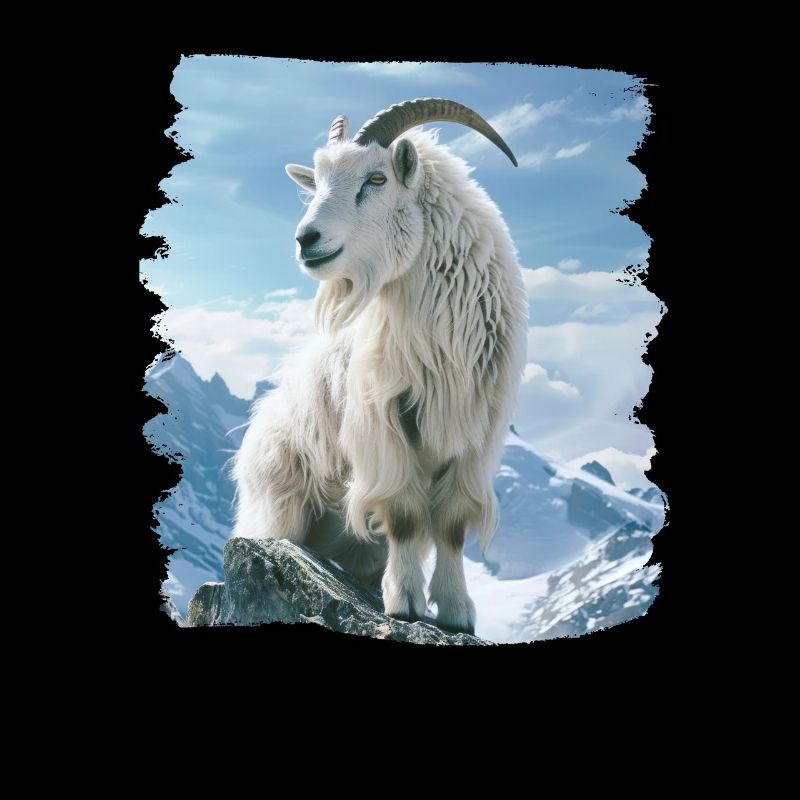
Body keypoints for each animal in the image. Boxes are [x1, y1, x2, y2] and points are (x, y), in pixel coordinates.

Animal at [234, 99, 528, 634]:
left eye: (375, 179)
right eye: (317, 181)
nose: (306, 239)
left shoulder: (477, 433)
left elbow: (452, 524)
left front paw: (456, 611)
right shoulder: (383, 420)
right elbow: (404, 515)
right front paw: (405, 602)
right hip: (278, 509)